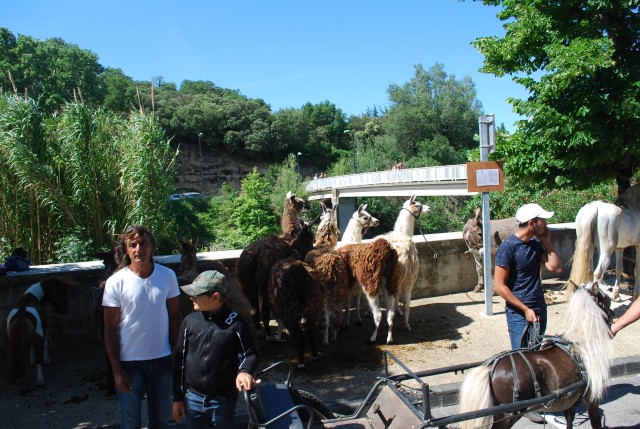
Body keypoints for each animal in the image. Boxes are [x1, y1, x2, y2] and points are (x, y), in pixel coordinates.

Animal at [460, 280, 616, 428]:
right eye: (604, 299)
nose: (613, 314)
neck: (580, 345)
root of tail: (490, 368)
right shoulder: (593, 400)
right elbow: (595, 422)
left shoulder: (569, 402)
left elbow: (569, 421)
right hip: (508, 415)